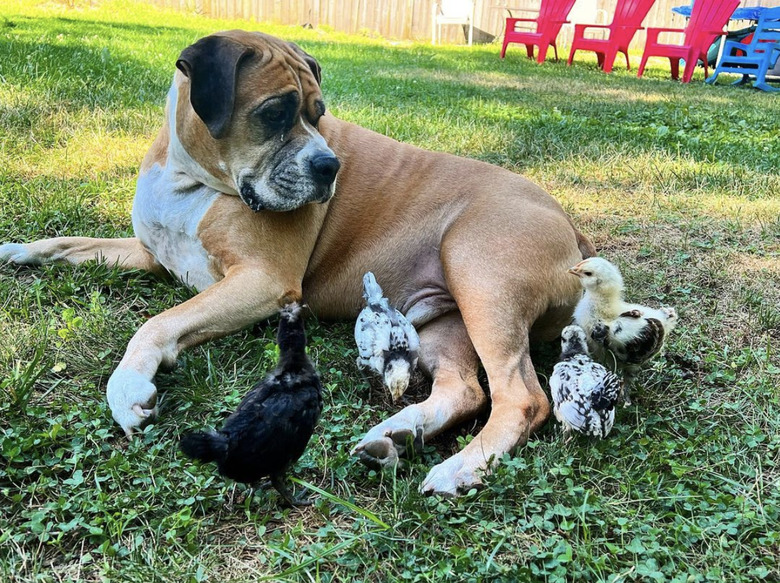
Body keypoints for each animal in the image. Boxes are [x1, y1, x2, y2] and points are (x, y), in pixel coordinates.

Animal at [0, 30, 596, 498]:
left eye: (318, 115)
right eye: (275, 113)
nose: (330, 165)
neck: (189, 176)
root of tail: (571, 228)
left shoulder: (262, 282)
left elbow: (157, 323)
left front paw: (128, 387)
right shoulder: (150, 254)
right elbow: (69, 243)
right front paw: (18, 250)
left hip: (478, 275)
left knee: (521, 397)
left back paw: (459, 467)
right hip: (447, 319)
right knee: (465, 389)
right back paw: (399, 434)